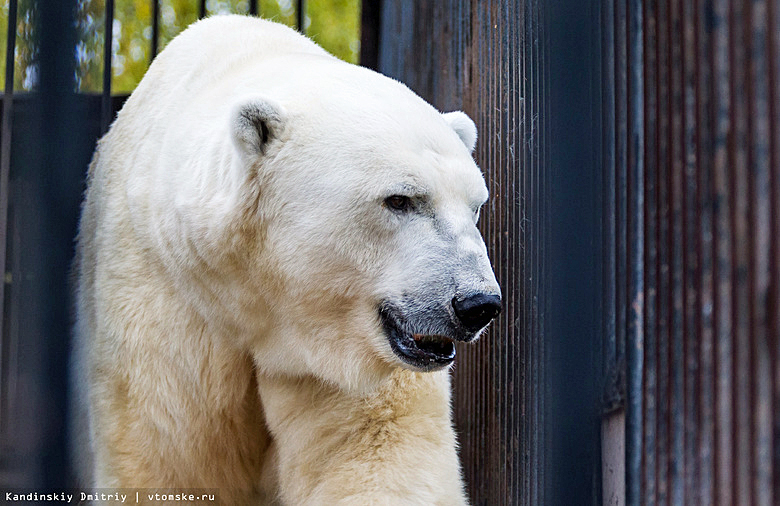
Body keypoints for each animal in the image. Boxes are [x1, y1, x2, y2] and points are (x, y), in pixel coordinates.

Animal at [70, 13, 502, 504]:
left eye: (476, 206)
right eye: (400, 199)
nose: (477, 304)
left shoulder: (337, 361)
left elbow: (376, 454)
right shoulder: (164, 311)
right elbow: (169, 455)